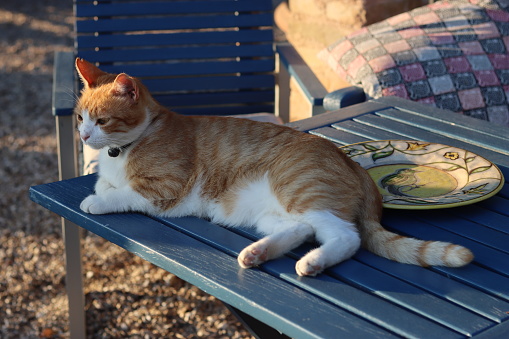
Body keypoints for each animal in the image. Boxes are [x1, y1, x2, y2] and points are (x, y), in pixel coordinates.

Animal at [74, 57, 472, 276]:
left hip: (300, 188)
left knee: (347, 237)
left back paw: (312, 263)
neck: (123, 149)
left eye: (102, 121)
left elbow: (120, 193)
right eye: (80, 117)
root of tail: (354, 164)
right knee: (302, 230)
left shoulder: (164, 188)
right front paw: (101, 187)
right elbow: (105, 185)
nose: (83, 135)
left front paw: (96, 200)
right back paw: (258, 252)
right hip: (270, 213)